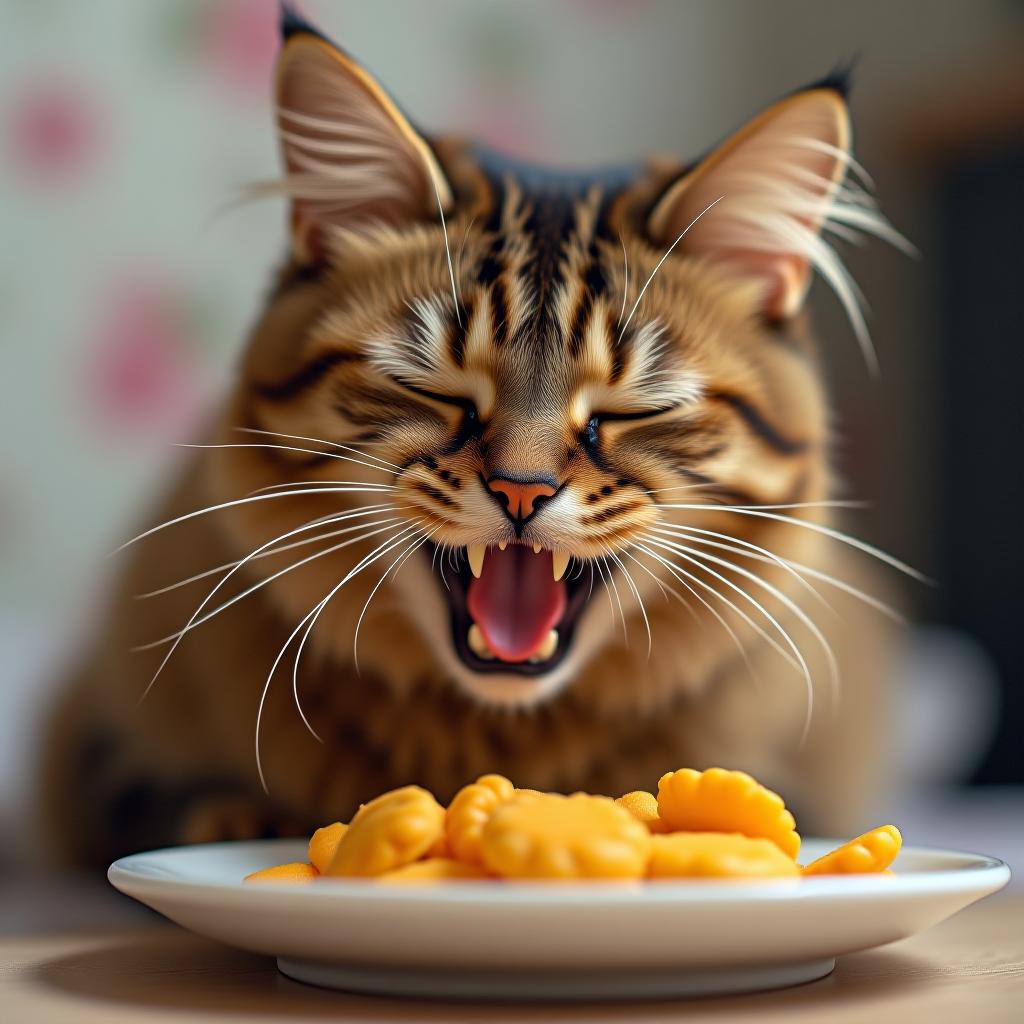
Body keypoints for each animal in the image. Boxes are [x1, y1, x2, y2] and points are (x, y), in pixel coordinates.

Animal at [36, 9, 909, 872]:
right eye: (436, 390)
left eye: (634, 409)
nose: (523, 489)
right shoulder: (97, 741)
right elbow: (177, 799)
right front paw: (242, 818)